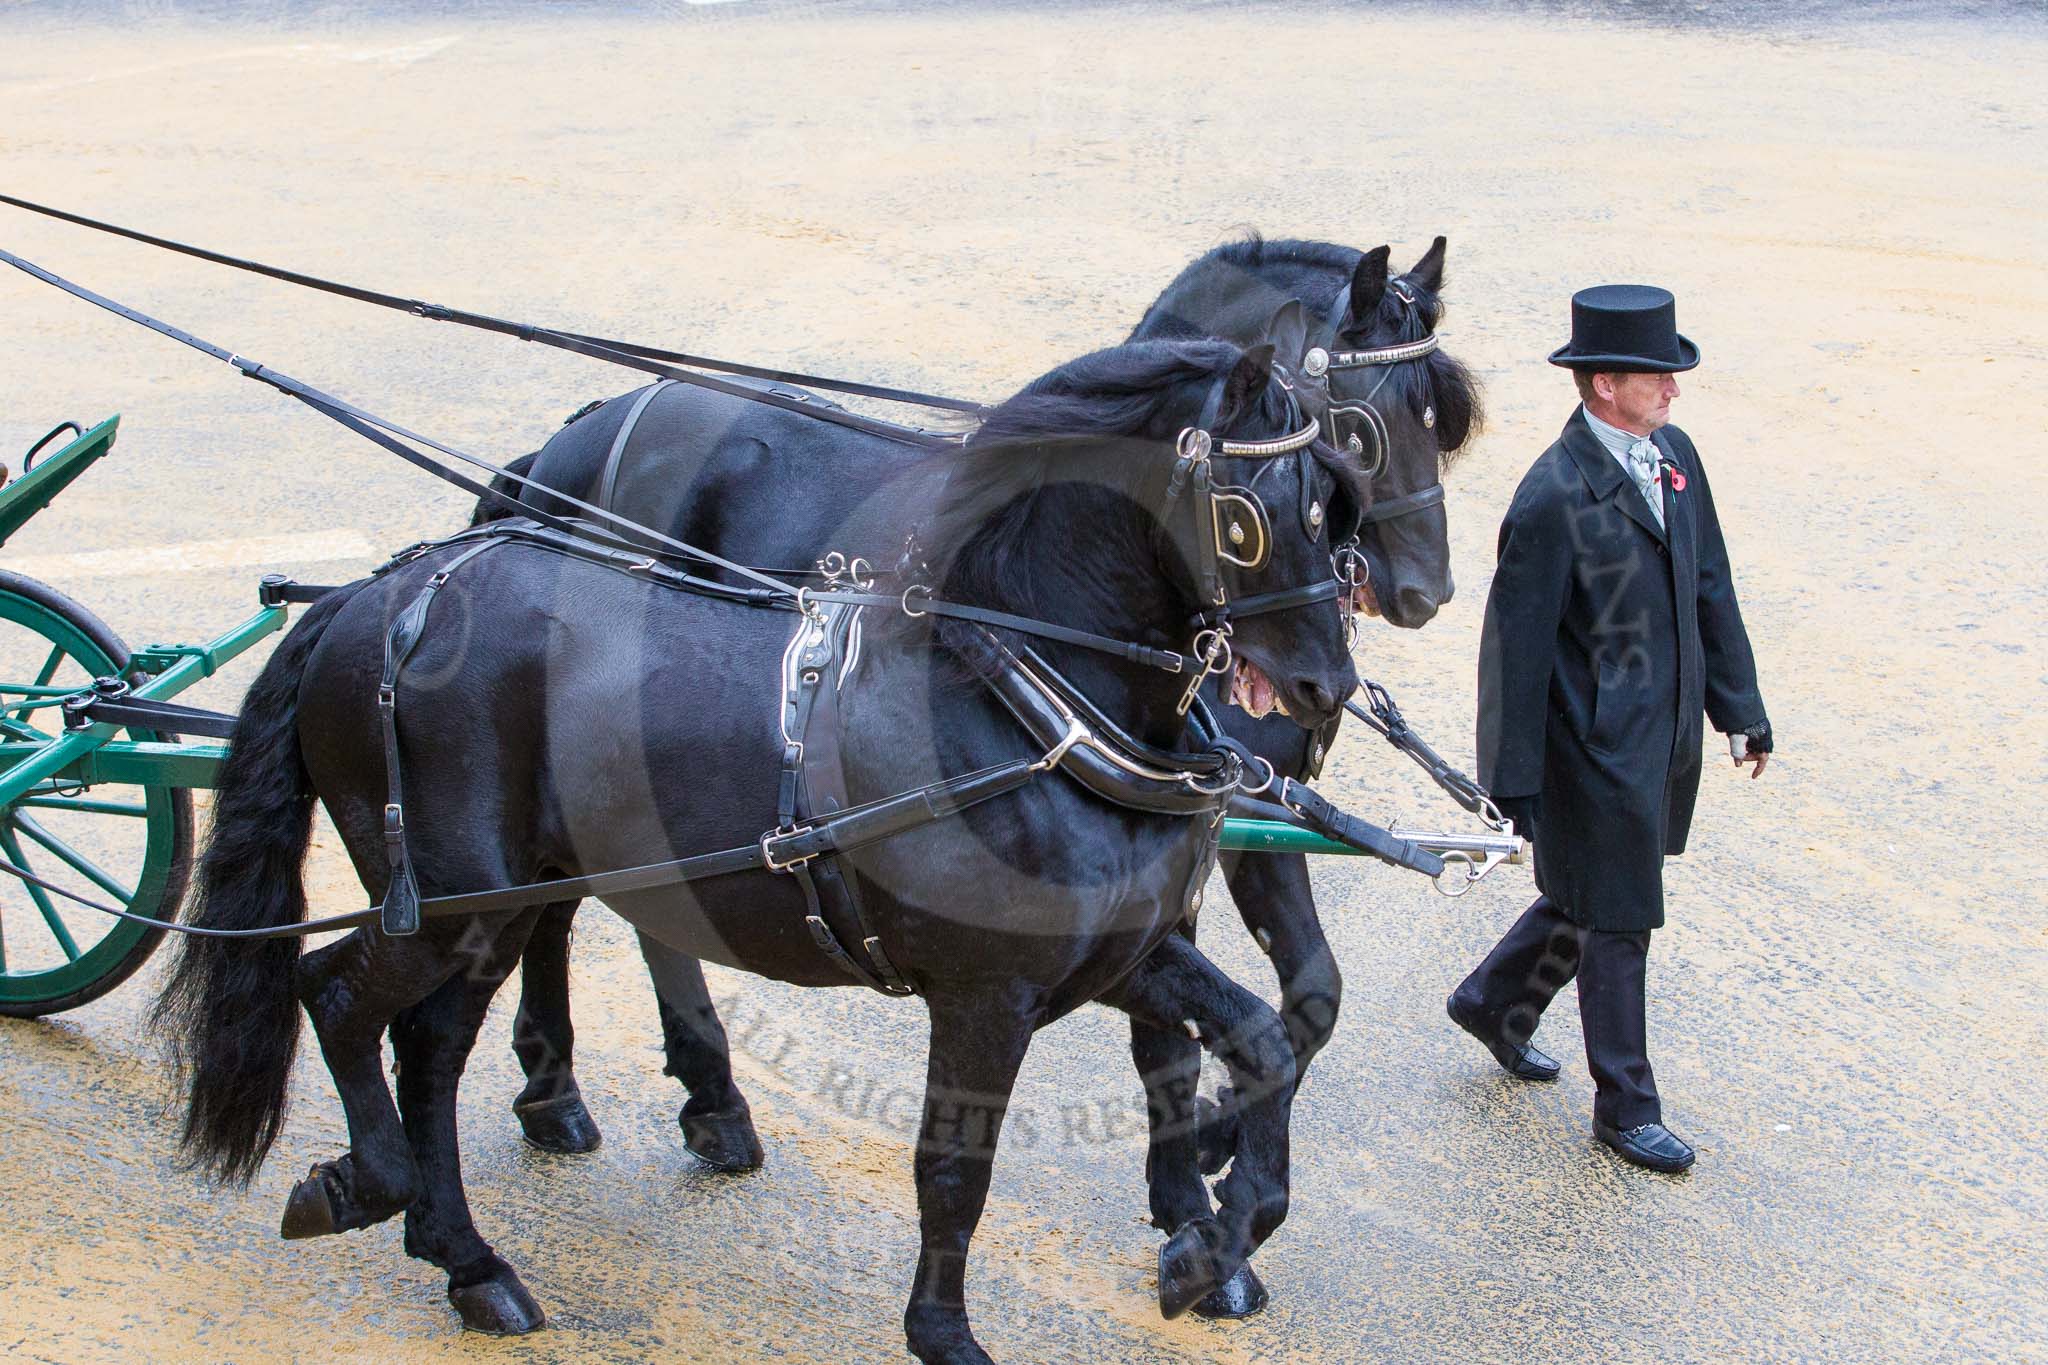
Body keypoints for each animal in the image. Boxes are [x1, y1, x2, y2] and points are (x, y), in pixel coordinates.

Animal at [151, 336, 1368, 1362]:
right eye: (1248, 517)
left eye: (1336, 507)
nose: (1325, 690)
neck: (1025, 700)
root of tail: (377, 593)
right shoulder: (986, 992)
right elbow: (953, 1168)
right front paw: (946, 1335)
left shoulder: (1122, 955)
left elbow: (1261, 1038)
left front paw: (1211, 1240)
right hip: (453, 901)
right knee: (335, 995)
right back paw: (379, 1185)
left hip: (497, 905)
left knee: (434, 1046)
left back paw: (469, 1255)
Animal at [484, 234, 1482, 1318]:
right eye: (1361, 429)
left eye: (1440, 427)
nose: (1422, 592)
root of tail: (585, 430)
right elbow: (1177, 1040)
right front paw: (1197, 1200)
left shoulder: (1235, 833)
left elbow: (1308, 996)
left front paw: (1210, 1173)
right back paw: (610, 1097)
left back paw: (654, 1100)